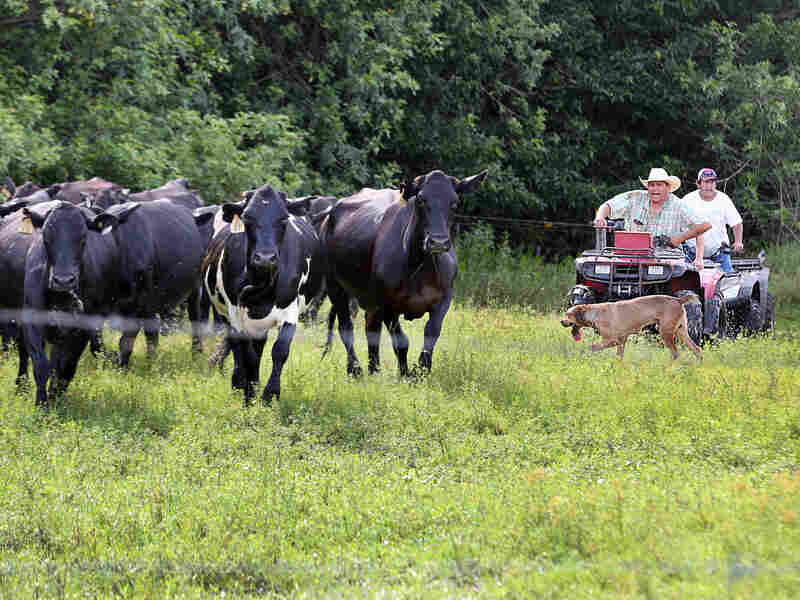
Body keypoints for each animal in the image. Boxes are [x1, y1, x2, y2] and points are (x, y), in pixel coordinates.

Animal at [201, 184, 325, 405]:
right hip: (226, 315)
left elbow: (280, 350)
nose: (265, 258)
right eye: (247, 218)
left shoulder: (290, 309)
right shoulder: (235, 314)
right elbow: (246, 354)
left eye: (283, 219)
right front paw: (248, 393)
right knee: (239, 350)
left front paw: (270, 395)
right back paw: (240, 383)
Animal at [321, 169, 487, 377]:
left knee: (370, 328)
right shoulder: (386, 303)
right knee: (347, 326)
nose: (438, 242)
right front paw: (405, 374)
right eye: (421, 199)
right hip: (335, 286)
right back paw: (356, 370)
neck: (421, 268)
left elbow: (431, 333)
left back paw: (373, 368)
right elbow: (401, 341)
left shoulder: (444, 299)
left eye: (455, 202)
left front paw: (420, 371)